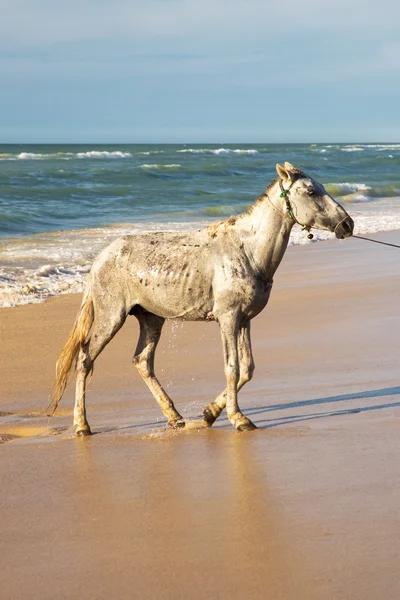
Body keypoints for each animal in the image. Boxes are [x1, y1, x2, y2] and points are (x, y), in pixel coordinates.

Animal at [50, 163, 354, 436]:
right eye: (312, 191)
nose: (348, 224)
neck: (247, 250)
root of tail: (101, 257)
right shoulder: (227, 318)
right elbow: (232, 368)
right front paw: (238, 418)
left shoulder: (244, 320)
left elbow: (247, 369)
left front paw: (210, 413)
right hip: (111, 316)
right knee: (85, 360)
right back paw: (82, 425)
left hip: (152, 318)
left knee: (142, 362)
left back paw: (174, 417)